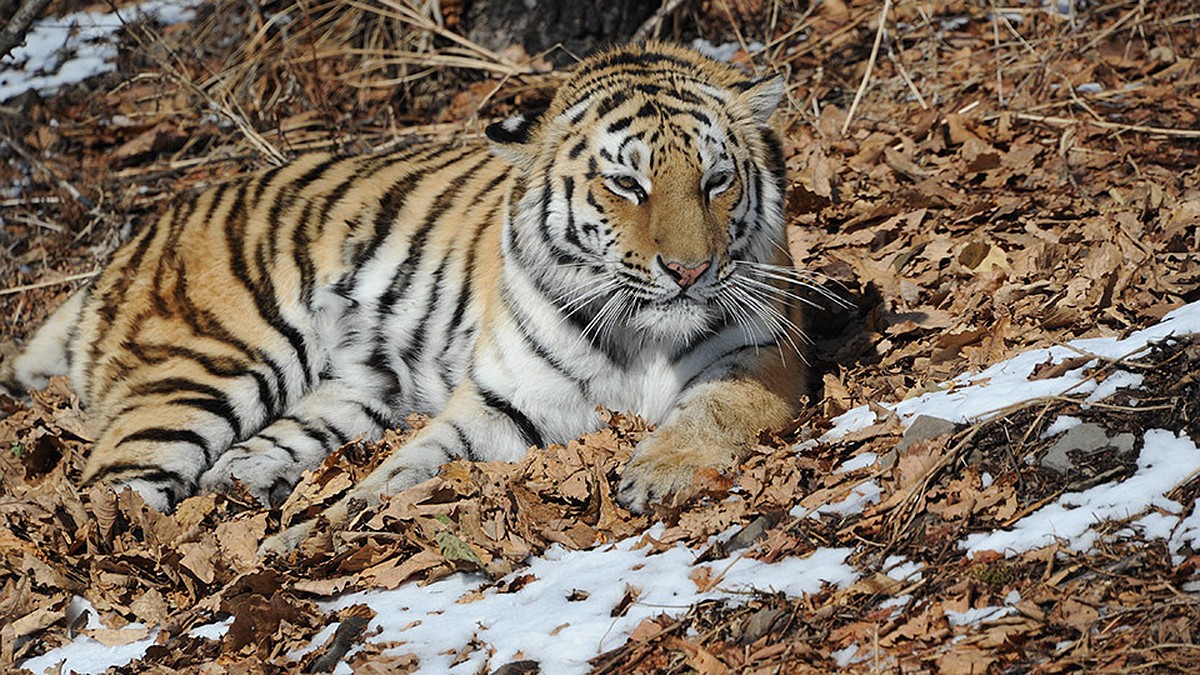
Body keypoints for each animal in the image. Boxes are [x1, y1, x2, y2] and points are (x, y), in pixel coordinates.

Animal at [2, 40, 806, 535]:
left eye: (716, 180)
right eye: (627, 185)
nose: (690, 271)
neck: (643, 337)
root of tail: (127, 244)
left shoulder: (765, 353)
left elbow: (714, 411)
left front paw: (656, 475)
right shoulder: (502, 401)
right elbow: (408, 467)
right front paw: (322, 531)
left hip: (348, 391)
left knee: (245, 453)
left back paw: (250, 484)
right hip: (205, 371)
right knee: (106, 497)